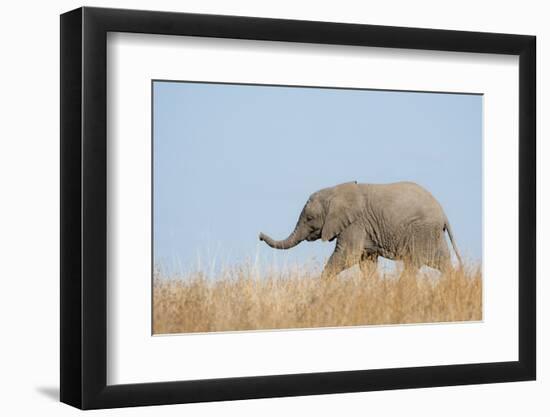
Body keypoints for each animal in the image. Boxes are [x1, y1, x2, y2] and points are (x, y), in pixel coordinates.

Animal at [258, 180, 462, 280]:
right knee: (442, 262)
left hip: (421, 231)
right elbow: (366, 262)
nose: (259, 235)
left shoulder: (355, 223)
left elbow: (347, 255)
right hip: (432, 234)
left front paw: (321, 287)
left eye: (309, 219)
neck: (335, 191)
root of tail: (443, 212)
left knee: (413, 264)